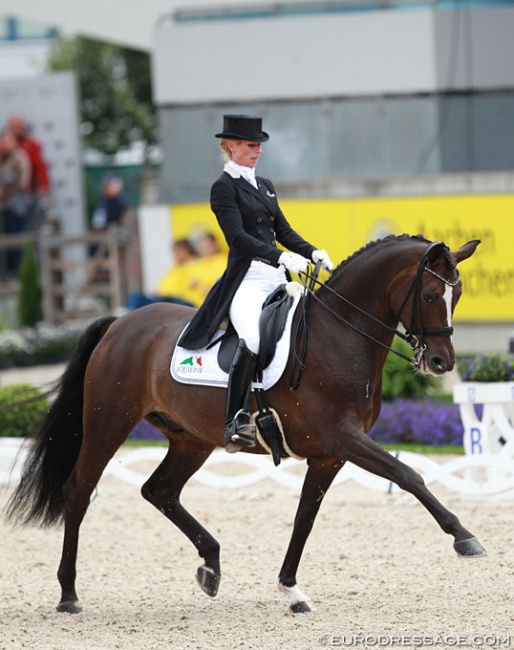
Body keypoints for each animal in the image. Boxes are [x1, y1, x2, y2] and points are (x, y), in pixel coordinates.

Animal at [5, 234, 484, 612]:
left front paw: (290, 589)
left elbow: (305, 517)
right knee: (78, 492)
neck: (340, 335)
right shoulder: (344, 439)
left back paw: (211, 566)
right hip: (108, 424)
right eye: (429, 296)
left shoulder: (328, 455)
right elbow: (408, 474)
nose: (441, 363)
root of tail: (118, 323)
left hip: (191, 439)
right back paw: (68, 595)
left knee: (159, 491)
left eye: (457, 295)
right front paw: (464, 537)